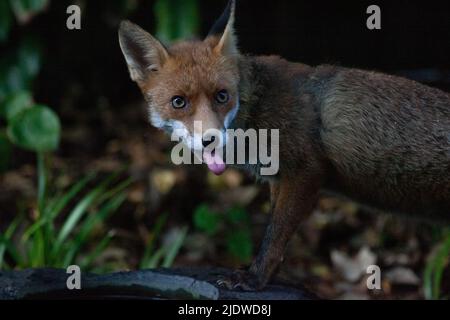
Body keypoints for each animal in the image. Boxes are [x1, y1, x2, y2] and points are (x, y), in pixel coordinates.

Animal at [119, 0, 450, 290]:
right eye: (179, 102)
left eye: (222, 96)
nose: (210, 138)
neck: (256, 106)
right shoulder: (277, 178)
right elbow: (275, 236)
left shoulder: (304, 172)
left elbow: (274, 237)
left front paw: (254, 280)